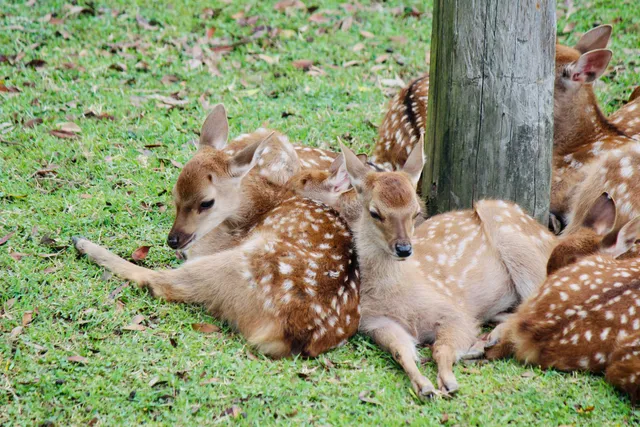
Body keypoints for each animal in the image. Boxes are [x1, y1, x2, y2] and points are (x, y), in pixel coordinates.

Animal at [73, 105, 360, 358]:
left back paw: (83, 243)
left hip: (235, 265)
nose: (174, 240)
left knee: (161, 282)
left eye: (206, 202)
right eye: (174, 194)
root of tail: (290, 334)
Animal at [325, 143, 556, 398]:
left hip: (523, 251)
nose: (404, 248)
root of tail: (552, 237)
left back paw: (483, 343)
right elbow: (400, 351)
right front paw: (424, 386)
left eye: (416, 212)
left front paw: (448, 382)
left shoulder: (454, 310)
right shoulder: (375, 322)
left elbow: (441, 348)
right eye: (375, 213)